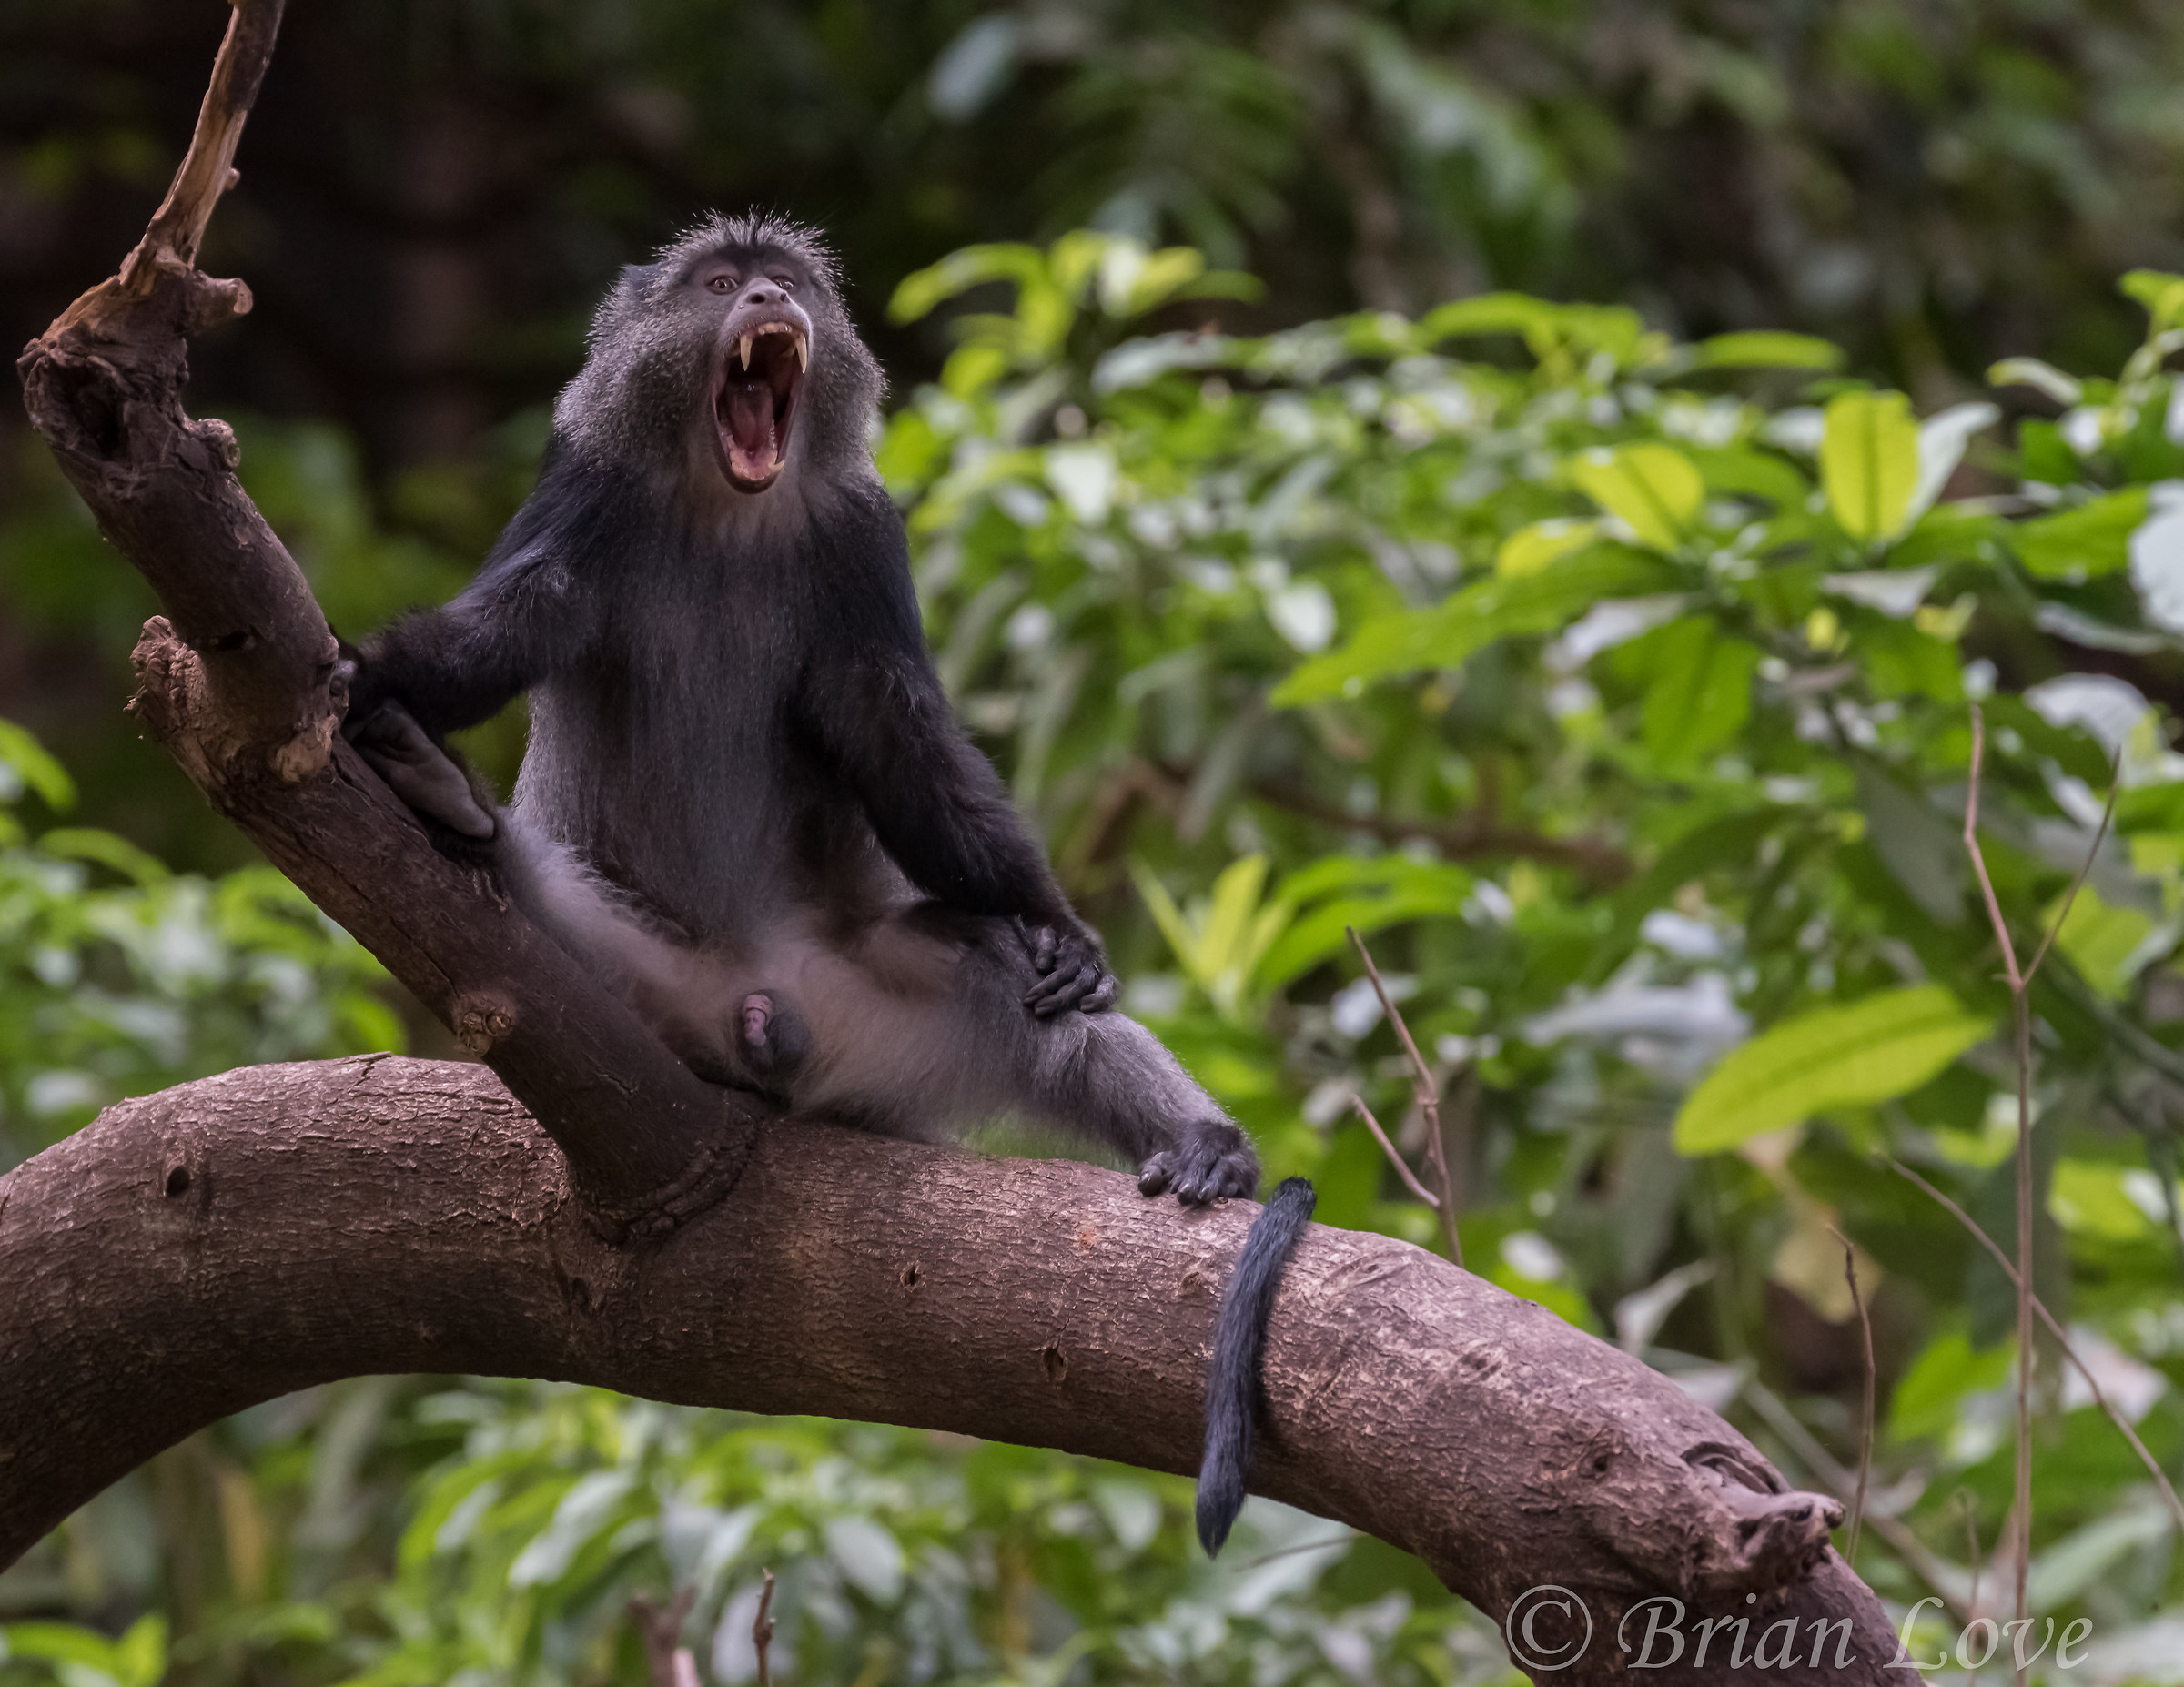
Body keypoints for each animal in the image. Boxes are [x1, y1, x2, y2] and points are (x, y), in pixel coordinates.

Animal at [339, 212, 1309, 1551]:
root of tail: (761, 1009)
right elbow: (507, 623)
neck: (726, 515)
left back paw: (1206, 1148)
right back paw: (449, 807)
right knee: (522, 908)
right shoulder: (583, 492)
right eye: (714, 282)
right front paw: (375, 676)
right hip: (625, 993)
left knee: (1019, 982)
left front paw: (1056, 915)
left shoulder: (861, 536)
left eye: (784, 280)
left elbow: (892, 726)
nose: (764, 299)